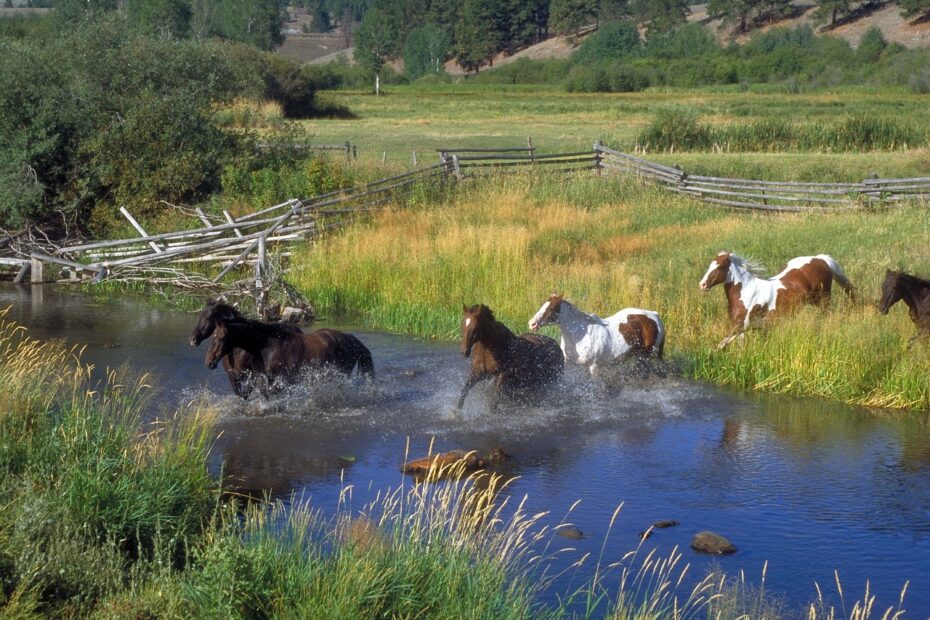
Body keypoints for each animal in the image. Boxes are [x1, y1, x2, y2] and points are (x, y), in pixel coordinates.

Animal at [520, 294, 668, 378]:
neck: (579, 335)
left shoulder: (594, 367)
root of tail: (654, 315)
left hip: (646, 356)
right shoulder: (571, 365)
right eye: (542, 305)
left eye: (551, 308)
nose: (532, 323)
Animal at [696, 252, 856, 348]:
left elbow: (721, 344)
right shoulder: (744, 329)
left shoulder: (740, 326)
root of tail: (821, 259)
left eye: (718, 267)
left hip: (824, 300)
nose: (702, 285)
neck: (746, 293)